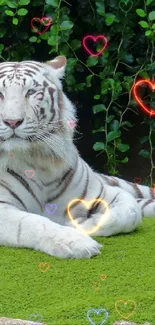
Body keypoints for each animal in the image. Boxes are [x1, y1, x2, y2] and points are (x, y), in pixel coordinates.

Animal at [0, 55, 154, 258]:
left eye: (31, 92)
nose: (12, 122)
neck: (38, 159)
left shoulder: (102, 192)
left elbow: (130, 212)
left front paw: (83, 223)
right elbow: (33, 223)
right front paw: (75, 242)